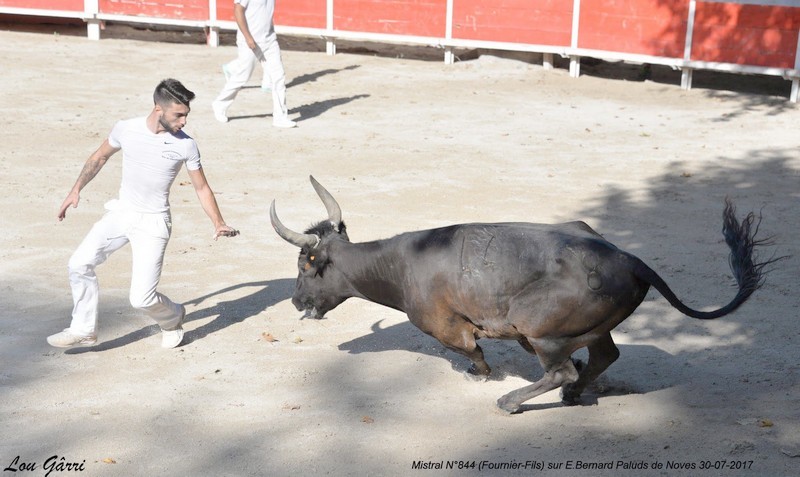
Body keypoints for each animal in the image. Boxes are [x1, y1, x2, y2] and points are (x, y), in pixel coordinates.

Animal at [270, 176, 776, 412]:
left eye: (305, 264)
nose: (295, 302)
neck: (400, 262)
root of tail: (628, 258)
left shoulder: (446, 328)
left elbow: (472, 353)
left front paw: (483, 377)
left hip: (541, 329)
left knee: (562, 370)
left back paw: (514, 401)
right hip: (591, 329)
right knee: (602, 357)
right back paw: (574, 395)